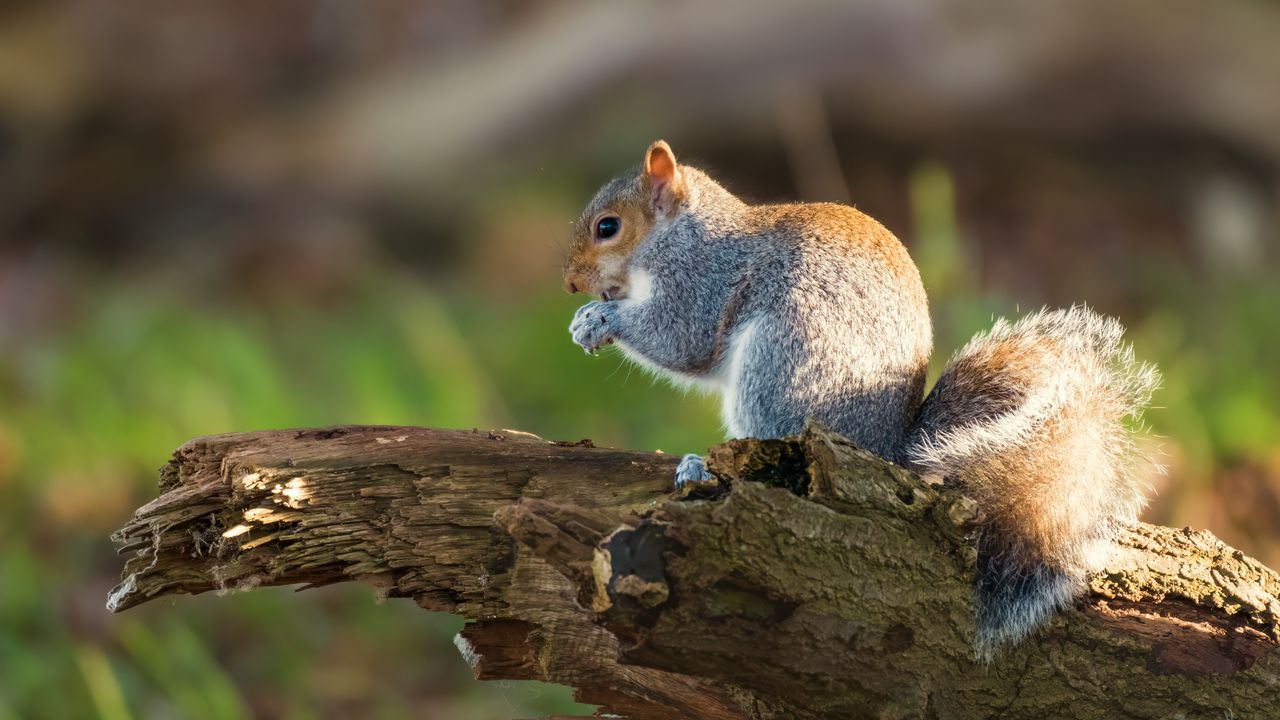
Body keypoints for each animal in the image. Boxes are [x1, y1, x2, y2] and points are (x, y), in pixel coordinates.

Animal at [560, 139, 1162, 655]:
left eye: (608, 227)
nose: (569, 284)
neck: (679, 234)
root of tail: (886, 453)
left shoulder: (701, 281)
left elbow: (682, 338)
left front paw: (600, 319)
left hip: (782, 363)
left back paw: (705, 469)